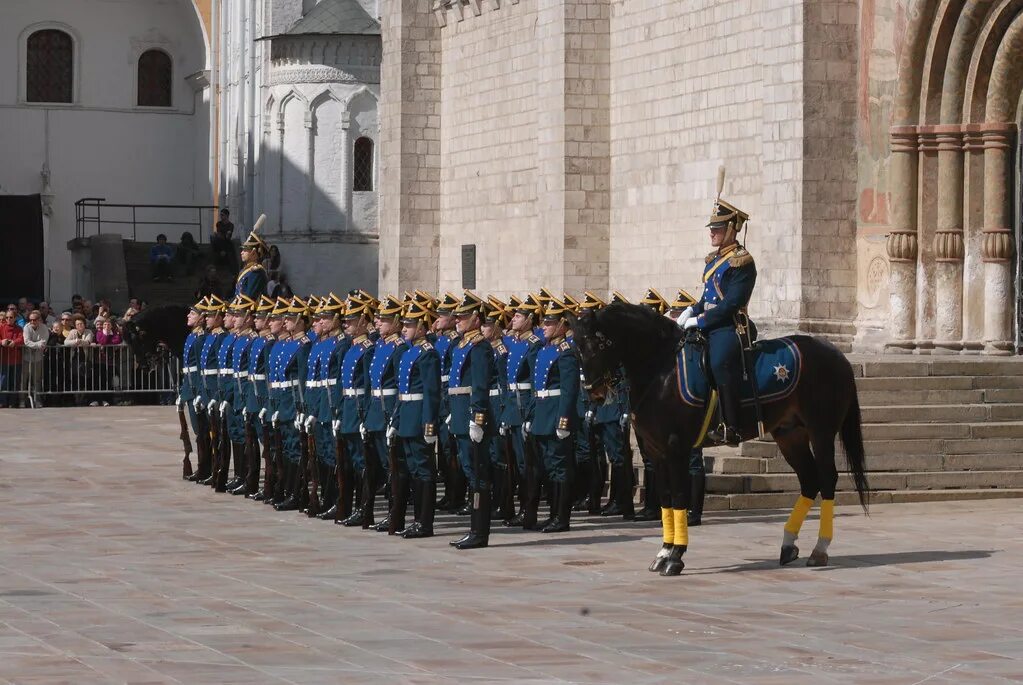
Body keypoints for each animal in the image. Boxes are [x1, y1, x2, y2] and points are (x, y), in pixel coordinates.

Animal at [572, 302, 867, 576]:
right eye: (577, 348)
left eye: (597, 345)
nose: (593, 391)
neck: (661, 372)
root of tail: (836, 354)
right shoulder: (656, 451)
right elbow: (665, 498)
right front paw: (664, 551)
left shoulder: (675, 448)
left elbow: (679, 496)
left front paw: (675, 556)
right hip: (790, 435)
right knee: (809, 481)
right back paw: (788, 544)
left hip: (821, 431)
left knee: (827, 479)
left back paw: (820, 549)